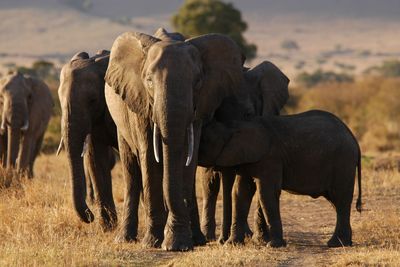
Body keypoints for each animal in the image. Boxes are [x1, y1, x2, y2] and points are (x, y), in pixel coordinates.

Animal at [104, 30, 244, 252]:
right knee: (131, 169)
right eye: (149, 80)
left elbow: (186, 159)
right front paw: (153, 242)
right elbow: (149, 159)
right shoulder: (140, 101)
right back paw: (125, 239)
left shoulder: (199, 105)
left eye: (198, 81)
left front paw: (181, 243)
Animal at [199, 61, 290, 245]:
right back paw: (208, 237)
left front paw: (261, 239)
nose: (222, 240)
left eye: (248, 114)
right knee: (209, 183)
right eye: (215, 114)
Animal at [199, 110, 362, 248]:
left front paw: (274, 245)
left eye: (204, 140)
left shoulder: (270, 158)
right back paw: (341, 243)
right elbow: (240, 193)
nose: (221, 241)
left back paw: (336, 244)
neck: (235, 126)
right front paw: (231, 244)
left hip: (343, 163)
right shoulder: (248, 158)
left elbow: (266, 193)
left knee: (340, 200)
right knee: (337, 202)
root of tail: (354, 139)